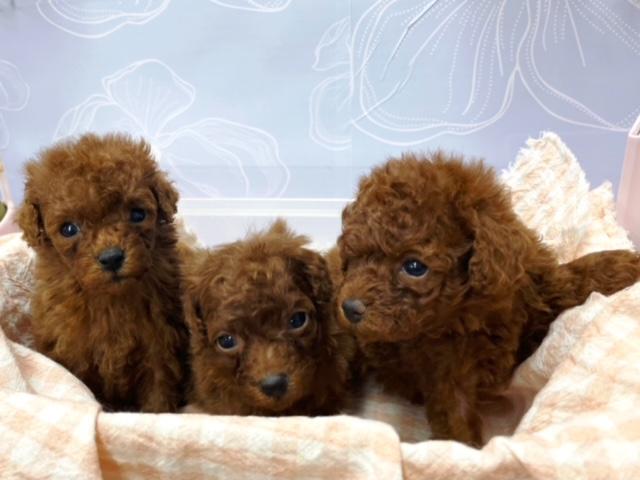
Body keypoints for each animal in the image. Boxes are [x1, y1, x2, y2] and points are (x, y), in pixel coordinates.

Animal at [17, 133, 189, 412]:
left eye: (138, 214)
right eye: (68, 229)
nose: (111, 258)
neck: (110, 299)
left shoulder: (159, 351)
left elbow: (158, 397)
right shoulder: (74, 354)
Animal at [336, 152, 640, 446]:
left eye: (414, 267)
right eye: (352, 257)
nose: (349, 308)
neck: (468, 309)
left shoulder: (532, 283)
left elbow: (571, 277)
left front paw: (623, 265)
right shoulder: (444, 371)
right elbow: (454, 414)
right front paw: (464, 451)